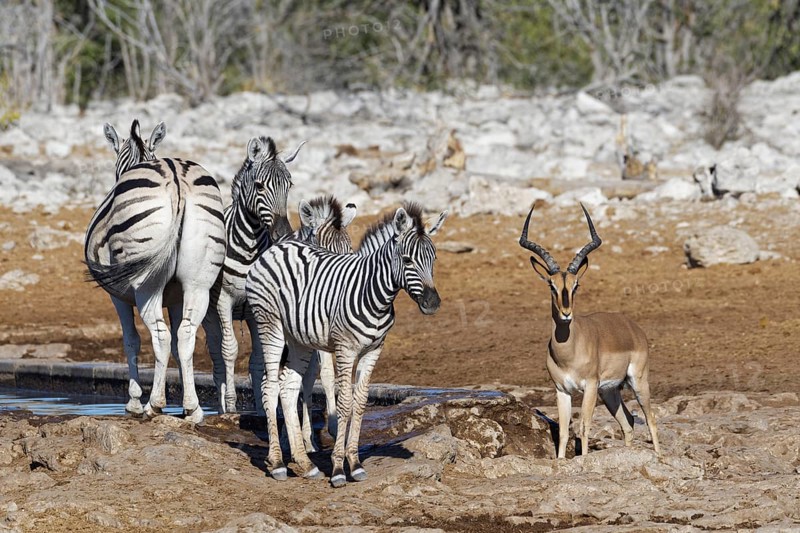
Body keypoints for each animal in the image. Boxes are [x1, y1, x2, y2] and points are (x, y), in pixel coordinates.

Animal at [85, 119, 226, 424]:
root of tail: (176, 181)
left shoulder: (118, 296)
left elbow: (131, 342)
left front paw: (134, 401)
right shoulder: (175, 297)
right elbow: (177, 342)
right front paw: (185, 400)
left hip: (146, 285)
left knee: (159, 335)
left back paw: (154, 405)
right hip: (199, 283)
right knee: (185, 335)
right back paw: (193, 409)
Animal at [201, 136, 301, 414]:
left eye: (289, 185)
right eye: (259, 186)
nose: (283, 233)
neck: (248, 248)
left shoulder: (258, 305)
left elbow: (258, 358)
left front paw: (262, 407)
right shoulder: (223, 301)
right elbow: (229, 350)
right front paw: (231, 404)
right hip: (208, 314)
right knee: (217, 357)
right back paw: (222, 408)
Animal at [246, 202, 447, 486]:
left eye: (434, 259)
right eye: (408, 260)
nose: (432, 303)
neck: (374, 294)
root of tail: (277, 247)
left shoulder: (373, 351)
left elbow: (360, 401)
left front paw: (355, 464)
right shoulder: (344, 349)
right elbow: (344, 403)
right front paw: (339, 469)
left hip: (298, 339)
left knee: (288, 387)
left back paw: (305, 464)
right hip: (269, 325)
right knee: (271, 385)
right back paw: (277, 464)